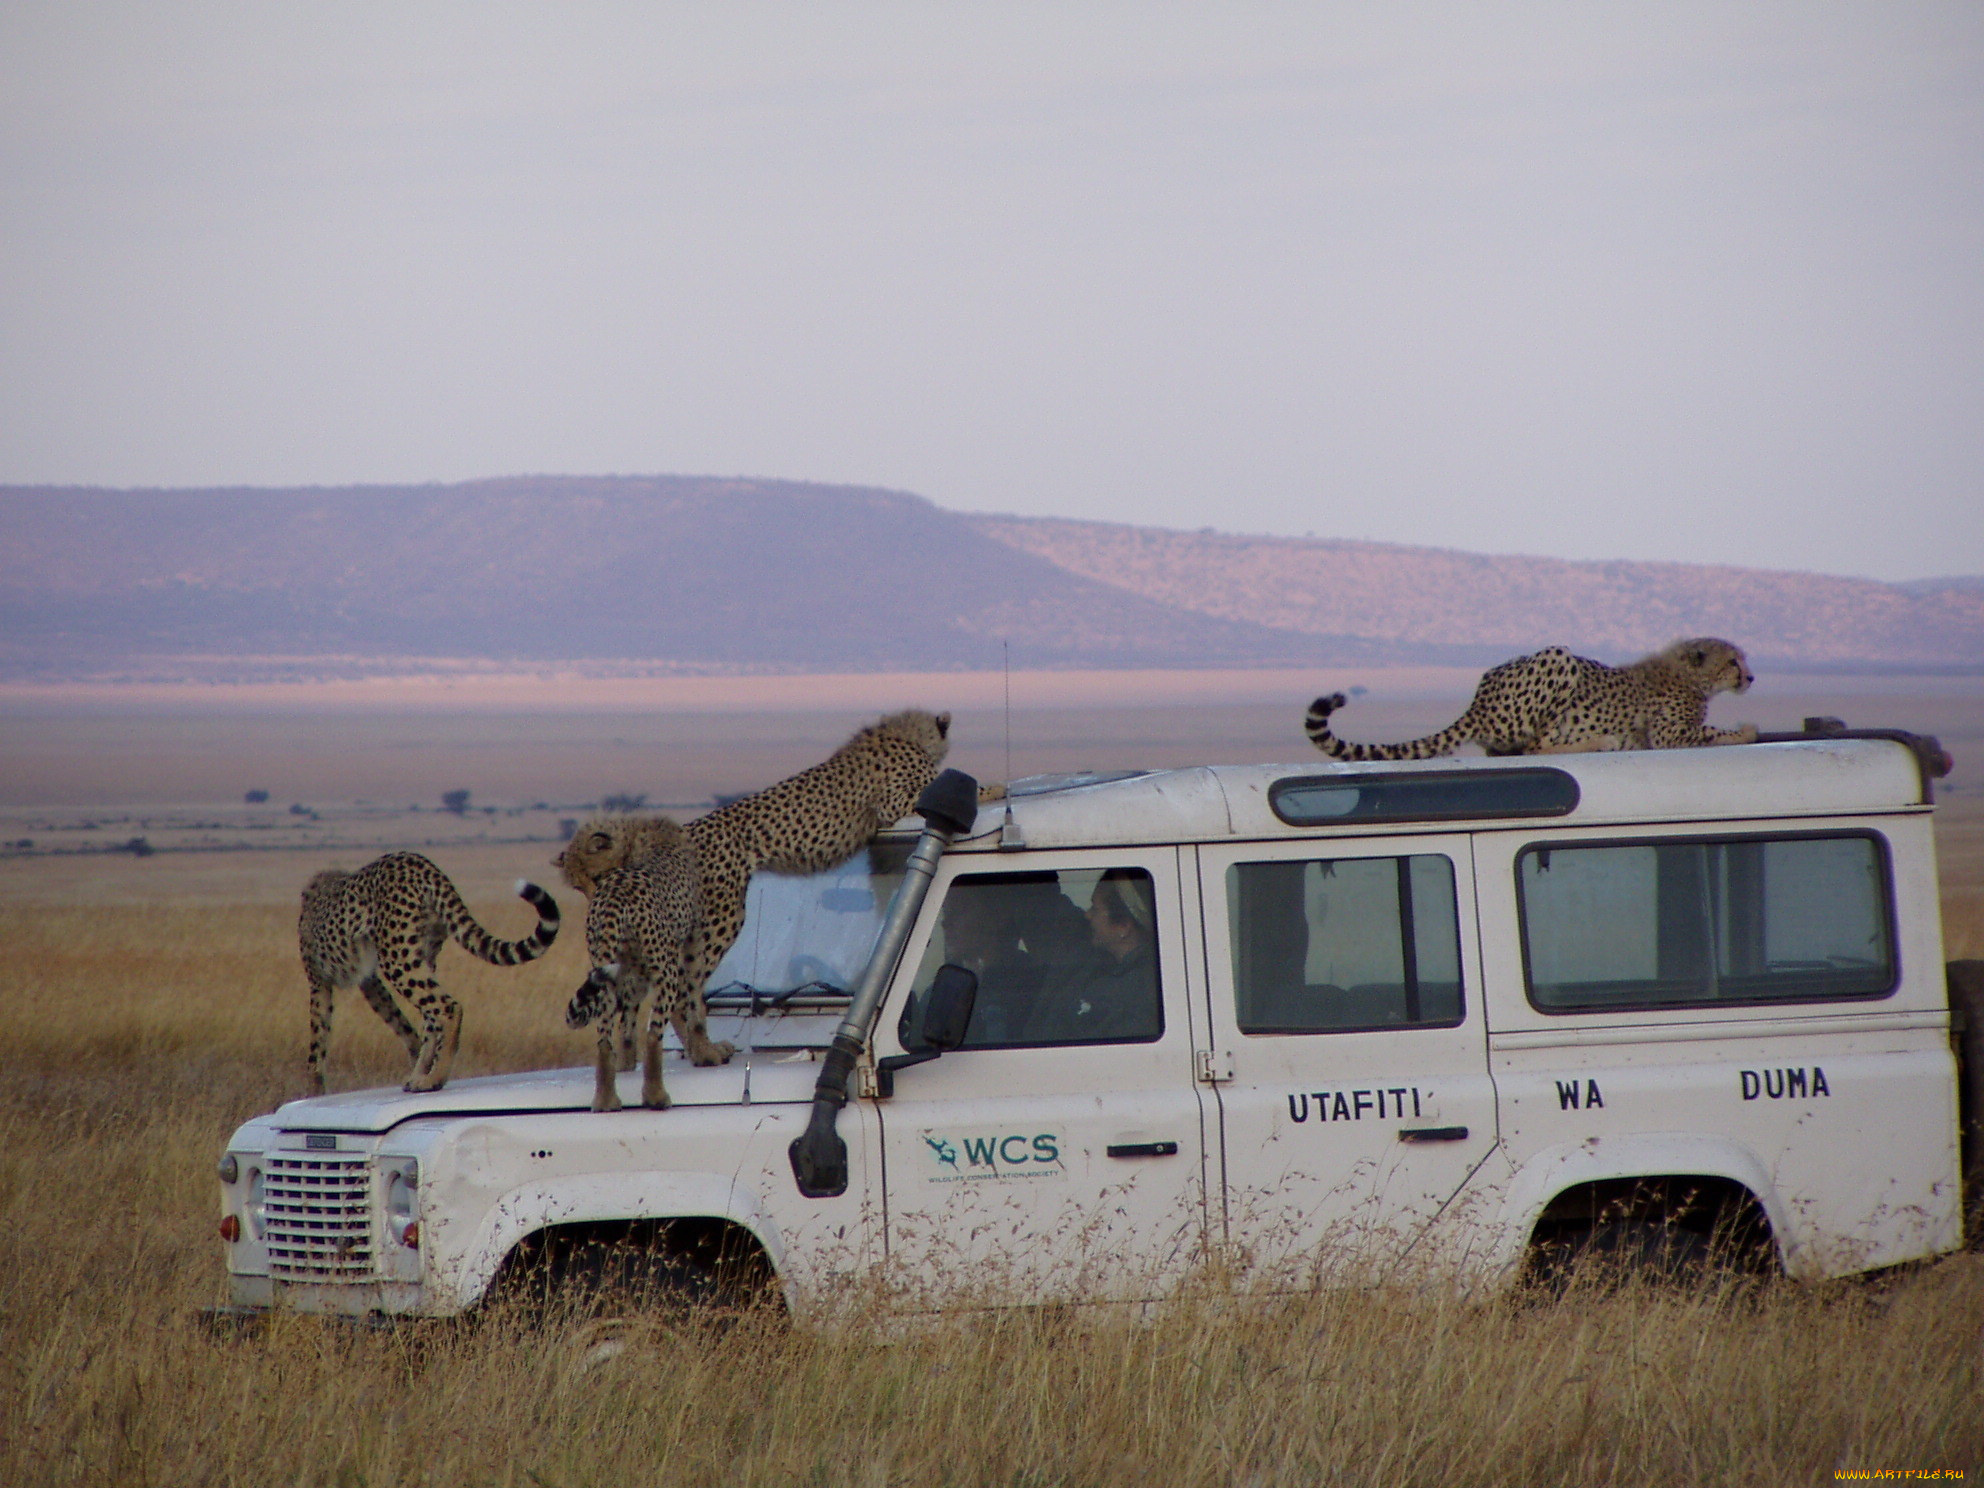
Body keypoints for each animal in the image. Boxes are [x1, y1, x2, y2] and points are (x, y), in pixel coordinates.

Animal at [303, 849, 567, 1095]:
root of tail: (423, 864)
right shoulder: (368, 980)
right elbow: (396, 1020)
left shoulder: (320, 980)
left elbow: (317, 1037)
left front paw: (314, 1092)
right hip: (422, 955)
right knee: (431, 1018)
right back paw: (419, 1076)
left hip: (397, 958)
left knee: (447, 1007)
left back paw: (434, 1078)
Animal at [555, 706, 956, 1111]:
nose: (592, 894)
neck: (905, 731)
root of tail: (685, 830)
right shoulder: (899, 803)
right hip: (721, 919)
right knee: (684, 990)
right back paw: (701, 1055)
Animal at [1309, 634, 1761, 761]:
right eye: (1733, 661)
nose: (1752, 676)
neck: (1689, 673)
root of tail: (1478, 699)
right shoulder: (1669, 735)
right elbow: (1712, 732)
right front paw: (1746, 730)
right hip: (1559, 656)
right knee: (1533, 747)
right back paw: (1600, 741)